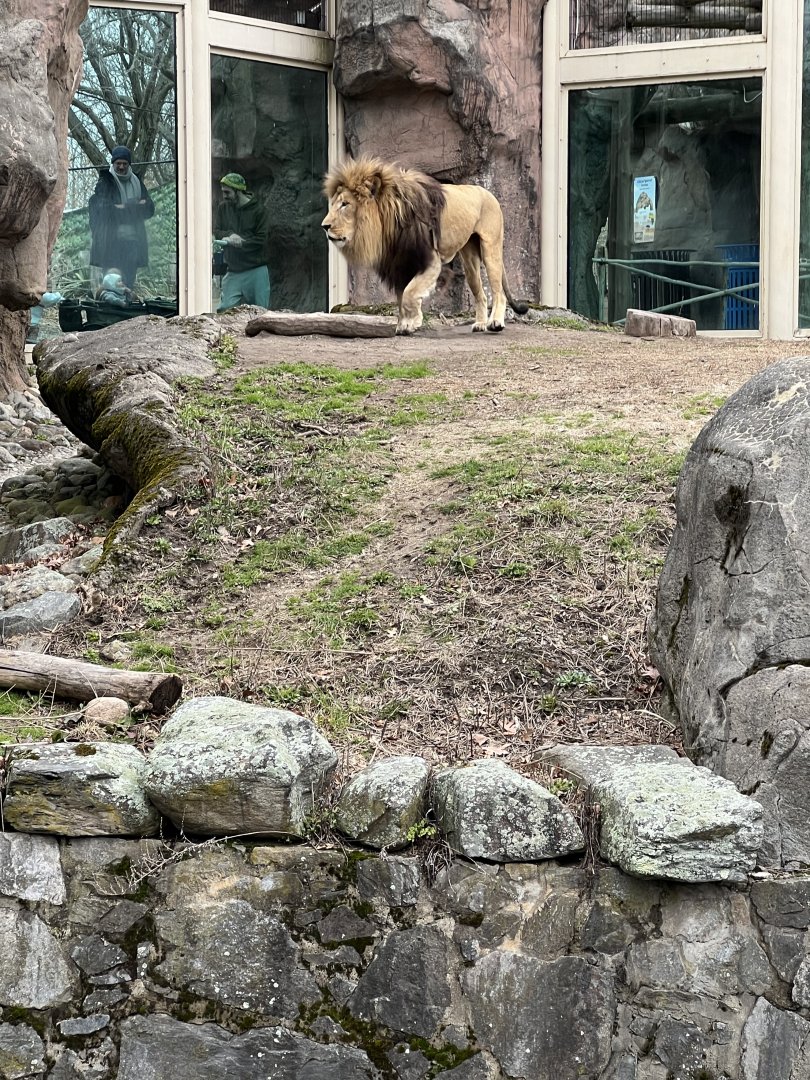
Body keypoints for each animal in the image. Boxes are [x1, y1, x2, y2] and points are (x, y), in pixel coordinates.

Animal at [321, 156, 528, 335]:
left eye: (345, 204)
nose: (324, 226)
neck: (390, 223)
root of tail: (487, 192)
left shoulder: (430, 260)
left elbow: (409, 294)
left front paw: (412, 322)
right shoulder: (400, 265)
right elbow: (401, 297)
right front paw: (406, 323)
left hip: (490, 248)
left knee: (498, 291)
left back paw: (496, 323)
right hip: (469, 260)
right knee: (481, 294)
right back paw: (480, 324)